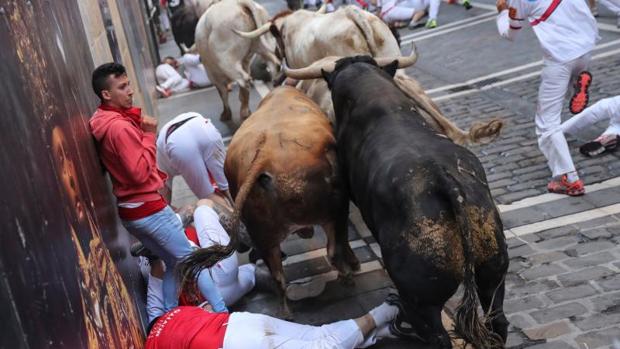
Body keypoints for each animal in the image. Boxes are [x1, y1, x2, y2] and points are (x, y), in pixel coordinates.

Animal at [224, 86, 358, 316]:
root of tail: (264, 156)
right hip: (332, 210)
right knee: (333, 249)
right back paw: (347, 276)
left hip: (264, 238)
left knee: (278, 277)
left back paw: (286, 313)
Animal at [235, 5, 502, 144]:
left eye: (277, 37)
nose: (280, 54)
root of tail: (353, 13)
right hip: (392, 59)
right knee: (412, 88)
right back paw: (470, 134)